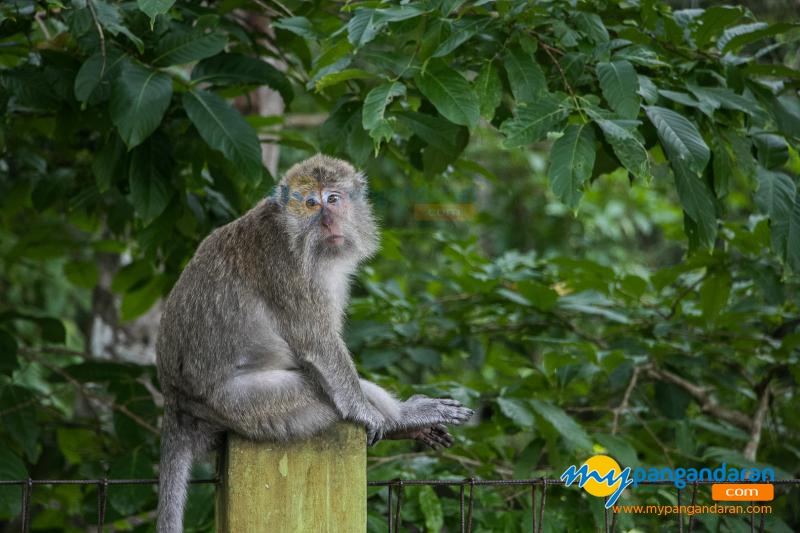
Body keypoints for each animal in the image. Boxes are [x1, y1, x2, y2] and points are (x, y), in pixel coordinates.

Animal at [153, 152, 472, 528]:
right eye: (310, 203)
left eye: (333, 198)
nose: (329, 219)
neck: (296, 235)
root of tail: (175, 400)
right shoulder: (288, 269)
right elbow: (319, 346)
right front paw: (369, 413)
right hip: (241, 406)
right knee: (317, 397)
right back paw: (402, 421)